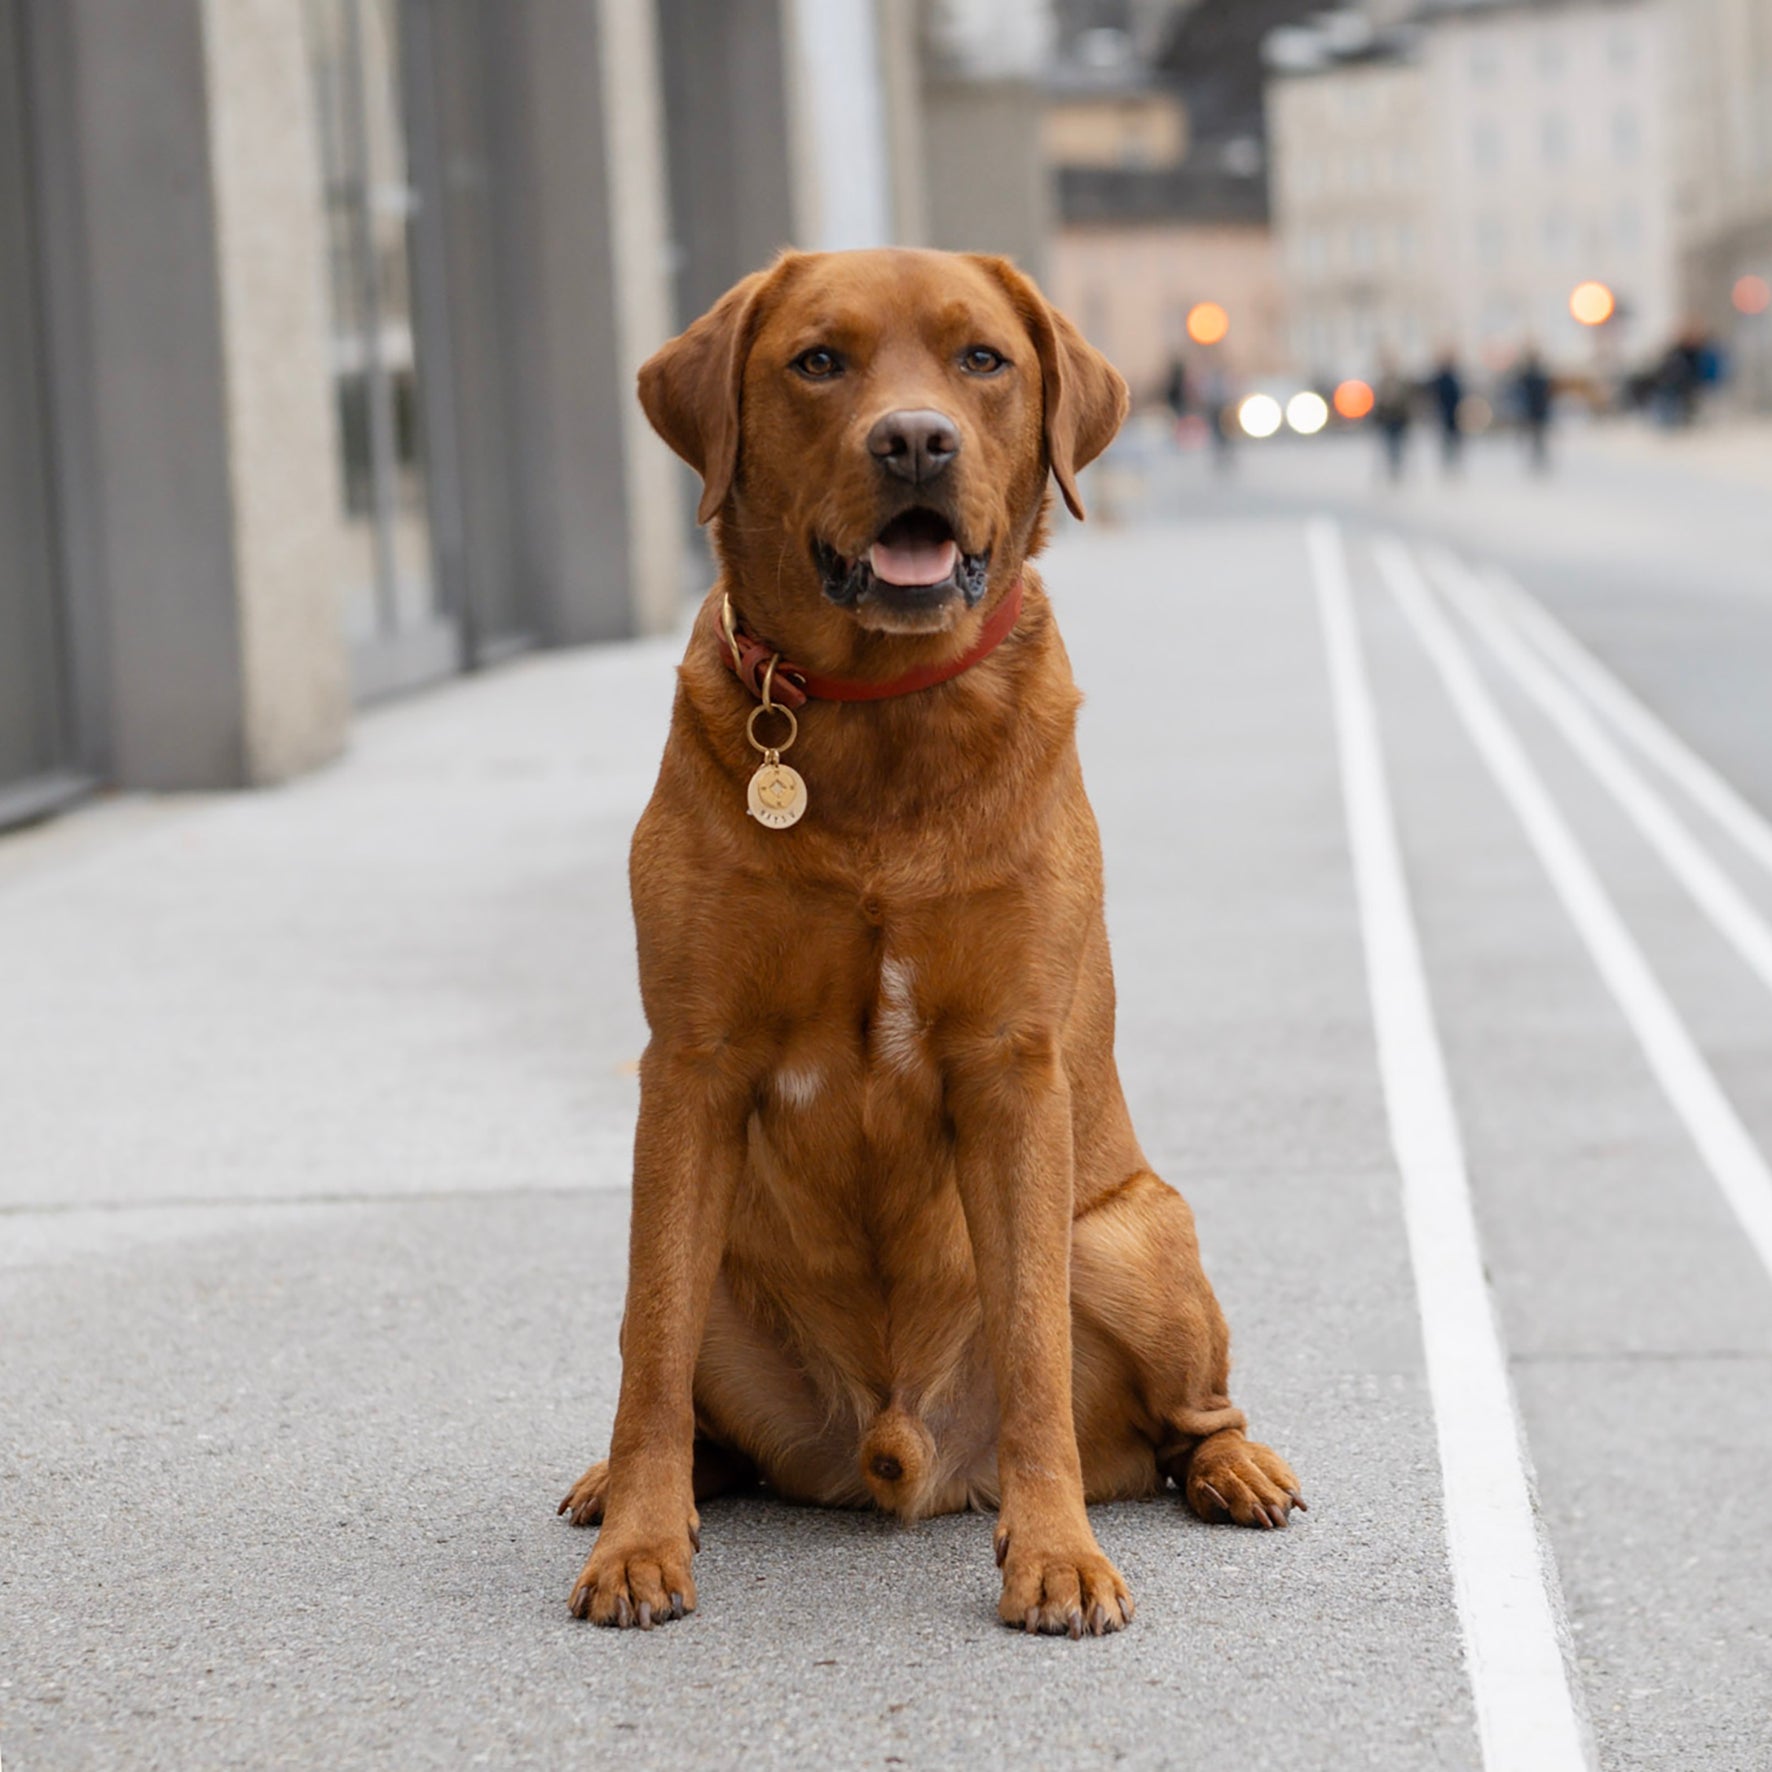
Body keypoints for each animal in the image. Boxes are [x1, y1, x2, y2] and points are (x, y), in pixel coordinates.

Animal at [563, 246, 1304, 1630]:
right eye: (816, 360)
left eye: (981, 359)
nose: (913, 439)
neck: (873, 717)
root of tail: (898, 1452)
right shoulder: (688, 1065)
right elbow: (651, 1340)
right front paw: (639, 1538)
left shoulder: (1008, 1066)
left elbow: (1030, 1347)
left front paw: (1055, 1552)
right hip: (728, 1266)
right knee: (678, 1369)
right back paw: (632, 1481)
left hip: (1128, 1231)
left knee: (1182, 1417)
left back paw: (1233, 1467)